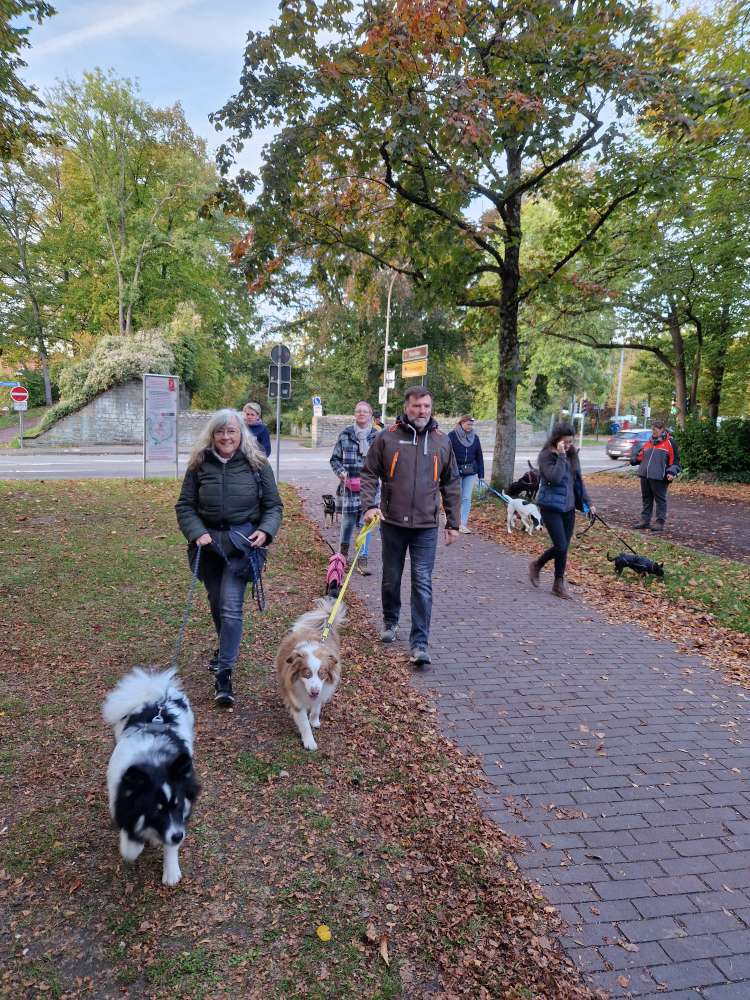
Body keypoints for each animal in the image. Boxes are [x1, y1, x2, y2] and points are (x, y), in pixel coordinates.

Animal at [104, 672, 203, 884]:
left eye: (179, 805)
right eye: (157, 811)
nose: (178, 836)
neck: (154, 764)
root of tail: (157, 697)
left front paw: (171, 871)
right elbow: (129, 845)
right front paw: (135, 844)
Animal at [276, 592, 346, 752]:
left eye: (322, 674)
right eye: (306, 674)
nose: (314, 692)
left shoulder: (322, 689)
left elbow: (316, 708)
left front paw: (314, 720)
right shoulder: (297, 701)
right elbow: (304, 724)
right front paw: (309, 742)